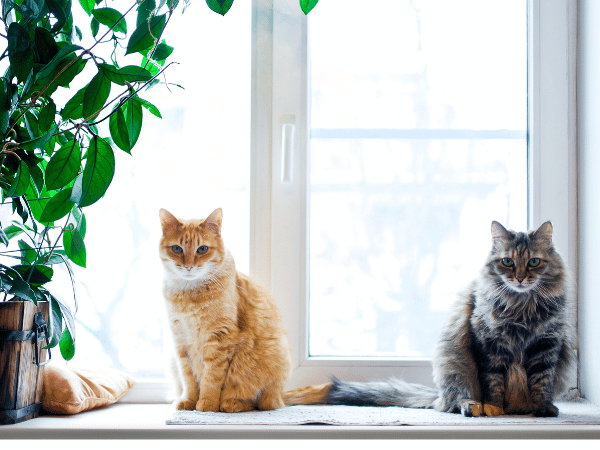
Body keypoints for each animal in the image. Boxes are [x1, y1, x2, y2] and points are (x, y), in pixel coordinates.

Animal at [158, 207, 292, 412]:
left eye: (202, 249)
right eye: (177, 248)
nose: (188, 266)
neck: (189, 294)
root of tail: (280, 396)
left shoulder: (219, 338)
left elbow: (211, 378)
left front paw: (207, 403)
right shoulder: (180, 341)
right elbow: (188, 378)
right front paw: (189, 401)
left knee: (259, 402)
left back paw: (232, 404)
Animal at [286, 221, 576, 418]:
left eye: (534, 262)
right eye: (507, 262)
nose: (519, 278)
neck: (521, 306)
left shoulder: (547, 343)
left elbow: (541, 381)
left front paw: (542, 407)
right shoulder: (489, 342)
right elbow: (493, 381)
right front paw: (494, 407)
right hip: (455, 365)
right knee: (455, 400)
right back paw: (473, 406)